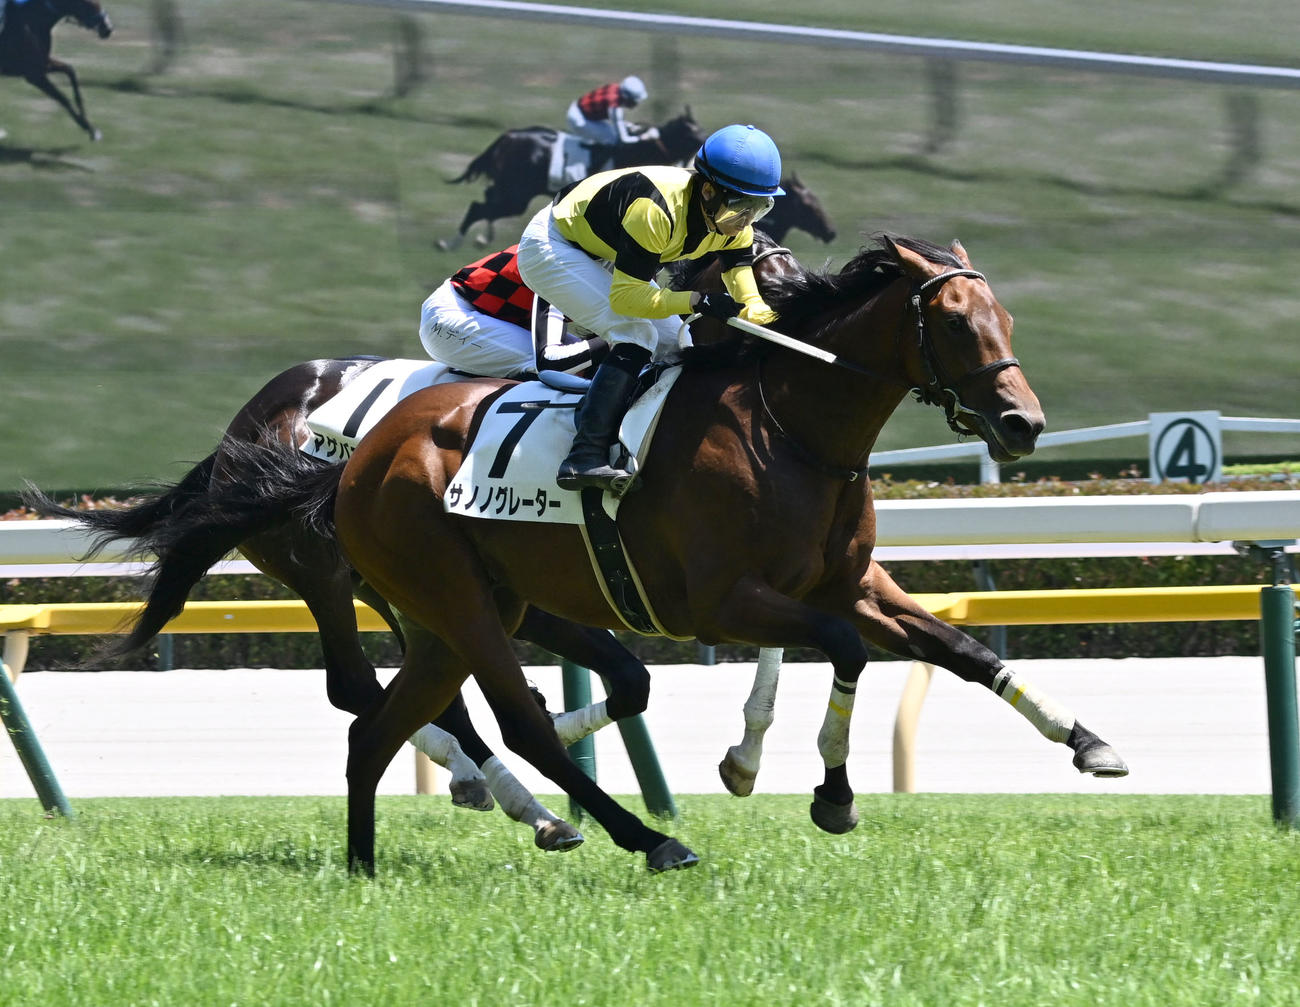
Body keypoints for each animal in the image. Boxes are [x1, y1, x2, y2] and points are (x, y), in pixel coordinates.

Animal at [0, 0, 112, 141]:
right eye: (89, 3)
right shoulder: (34, 75)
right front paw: (89, 129)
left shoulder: (44, 65)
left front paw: (88, 124)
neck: (31, 20)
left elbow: (70, 71)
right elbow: (63, 98)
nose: (108, 28)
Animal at [221, 233, 1127, 875]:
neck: (788, 425)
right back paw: (630, 833)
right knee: (498, 717)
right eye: (954, 322)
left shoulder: (847, 583)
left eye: (1007, 320)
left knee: (378, 727)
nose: (1022, 424)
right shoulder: (721, 602)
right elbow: (838, 651)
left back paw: (372, 859)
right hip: (441, 596)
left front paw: (1087, 740)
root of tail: (354, 456)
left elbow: (961, 648)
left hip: (457, 607)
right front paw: (827, 792)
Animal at [439, 109, 706, 250]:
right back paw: (450, 243)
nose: (705, 143)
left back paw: (481, 238)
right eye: (692, 132)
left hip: (510, 190)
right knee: (479, 207)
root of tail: (509, 137)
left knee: (485, 204)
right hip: (516, 195)